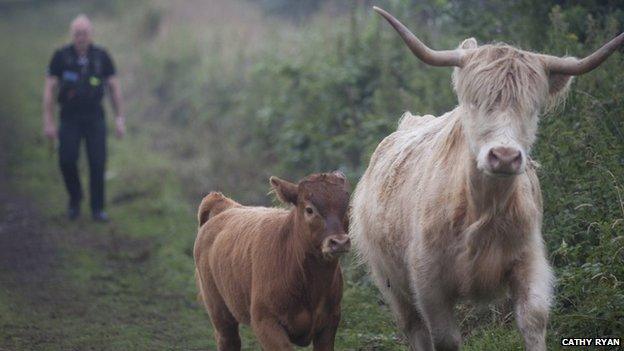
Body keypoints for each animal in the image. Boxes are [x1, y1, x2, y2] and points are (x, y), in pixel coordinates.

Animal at [194, 173, 352, 351]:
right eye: (309, 209)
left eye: (347, 207)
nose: (339, 242)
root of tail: (226, 205)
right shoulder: (265, 322)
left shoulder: (330, 321)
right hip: (219, 311)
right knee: (228, 338)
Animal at [352, 6, 624, 351]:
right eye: (474, 102)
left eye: (531, 108)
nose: (505, 156)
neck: (482, 207)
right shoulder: (428, 280)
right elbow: (445, 337)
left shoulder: (528, 260)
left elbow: (533, 319)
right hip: (391, 280)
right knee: (415, 328)